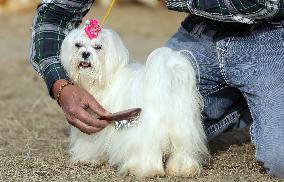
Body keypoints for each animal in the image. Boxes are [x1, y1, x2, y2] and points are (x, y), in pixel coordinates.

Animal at [60, 23, 209, 178]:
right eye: (78, 45)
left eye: (98, 47)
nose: (85, 54)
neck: (105, 78)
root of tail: (164, 85)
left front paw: (87, 158)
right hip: (183, 129)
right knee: (183, 150)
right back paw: (182, 169)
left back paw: (142, 169)